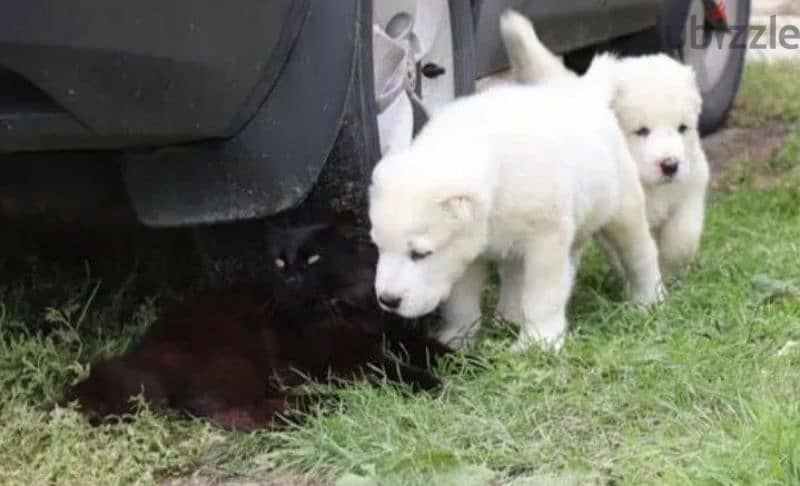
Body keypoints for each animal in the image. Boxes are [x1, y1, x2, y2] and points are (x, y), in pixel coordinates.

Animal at [65, 220, 446, 430]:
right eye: (280, 262)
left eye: (313, 258)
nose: (291, 278)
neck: (341, 306)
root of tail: (140, 354)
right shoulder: (346, 355)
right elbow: (391, 369)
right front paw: (432, 383)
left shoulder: (393, 332)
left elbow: (430, 347)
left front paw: (458, 362)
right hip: (234, 359)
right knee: (234, 412)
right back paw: (325, 404)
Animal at [368, 68, 664, 352]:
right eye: (379, 247)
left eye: (420, 254)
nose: (388, 300)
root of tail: (586, 94)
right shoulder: (466, 252)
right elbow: (462, 301)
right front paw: (457, 338)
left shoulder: (546, 239)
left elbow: (542, 295)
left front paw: (539, 342)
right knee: (518, 273)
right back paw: (508, 317)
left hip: (621, 202)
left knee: (639, 251)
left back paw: (648, 299)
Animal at [504, 9, 708, 280]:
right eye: (641, 131)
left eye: (682, 128)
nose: (670, 165)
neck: (648, 185)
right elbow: (623, 249)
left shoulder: (691, 186)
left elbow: (682, 237)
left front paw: (669, 268)